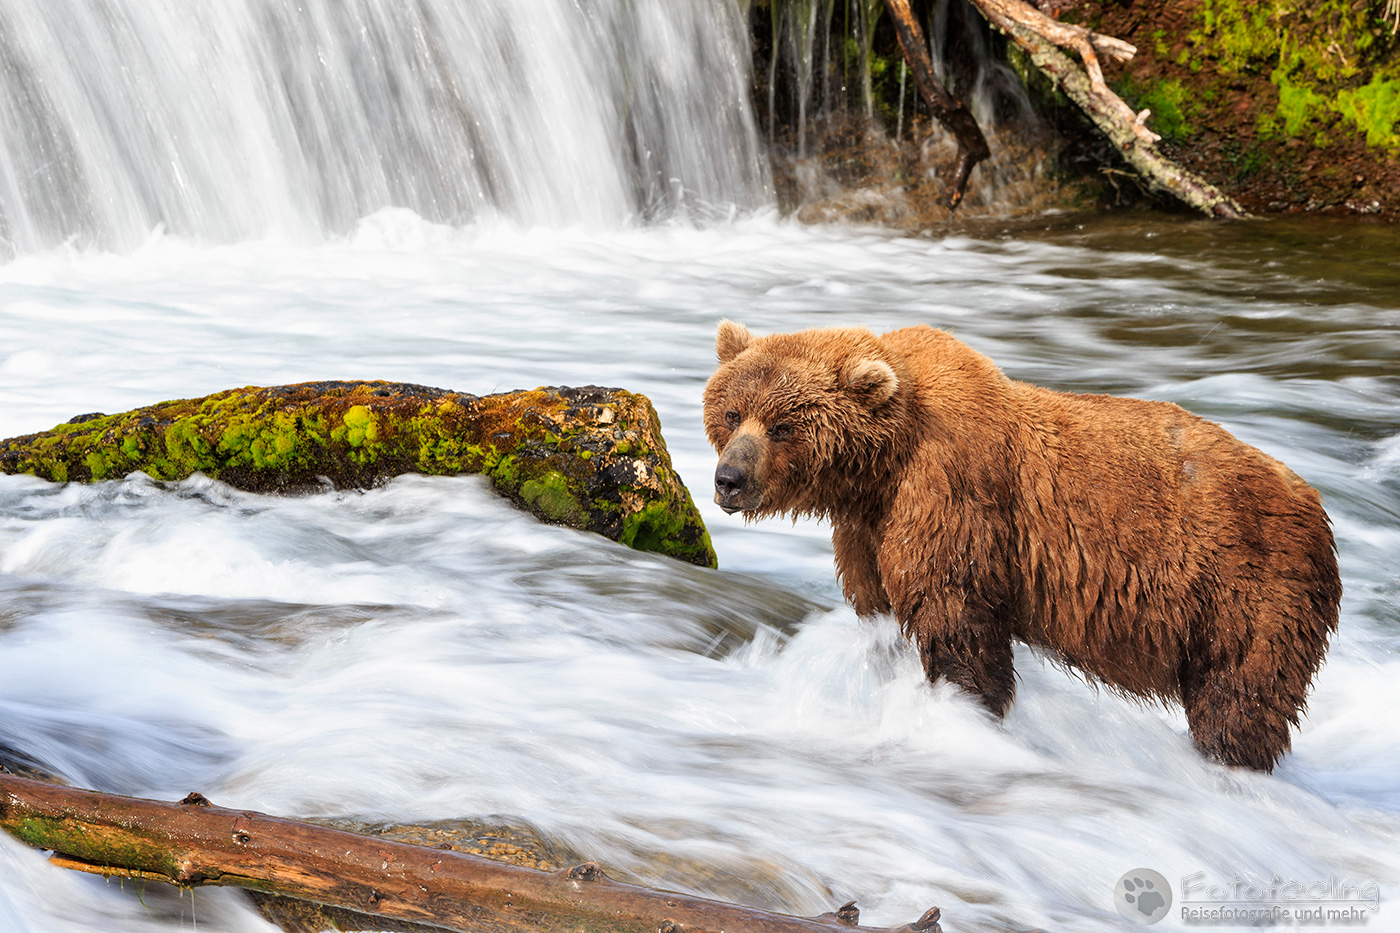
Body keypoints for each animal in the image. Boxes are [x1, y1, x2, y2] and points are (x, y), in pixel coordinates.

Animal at [702, 321, 1340, 771]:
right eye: (732, 412)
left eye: (784, 426)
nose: (729, 479)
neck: (879, 466)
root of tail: (1315, 502)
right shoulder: (866, 529)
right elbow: (879, 613)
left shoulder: (951, 494)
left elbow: (954, 617)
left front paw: (965, 712)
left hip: (1246, 586)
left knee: (1240, 695)